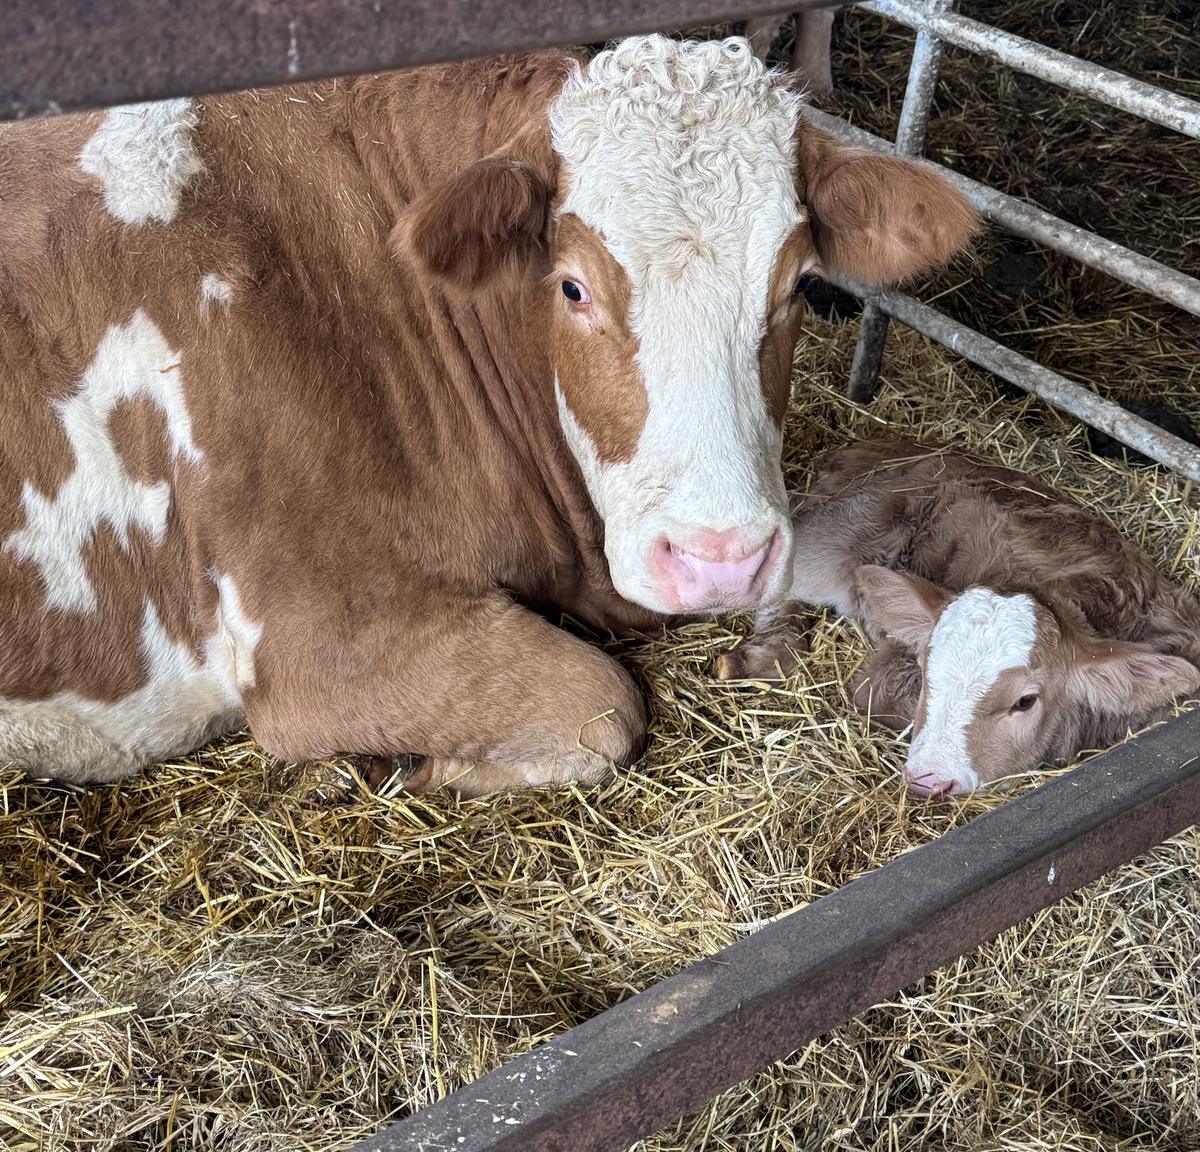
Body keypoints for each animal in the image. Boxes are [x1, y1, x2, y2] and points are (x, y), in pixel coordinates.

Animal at [0, 36, 977, 795]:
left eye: (803, 284)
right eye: (572, 286)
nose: (721, 560)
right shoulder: (316, 642)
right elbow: (602, 707)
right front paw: (398, 765)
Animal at [717, 436, 1200, 796]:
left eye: (1025, 701)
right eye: (927, 671)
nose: (928, 781)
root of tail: (881, 442)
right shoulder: (884, 671)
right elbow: (874, 696)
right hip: (827, 539)